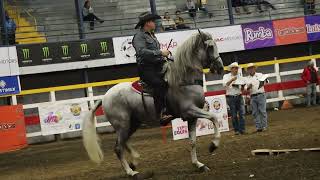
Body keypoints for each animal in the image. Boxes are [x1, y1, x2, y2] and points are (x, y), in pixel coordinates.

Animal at [81, 31, 224, 179]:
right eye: (210, 47)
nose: (220, 67)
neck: (184, 81)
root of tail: (104, 97)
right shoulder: (190, 111)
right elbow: (214, 117)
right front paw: (213, 145)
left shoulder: (192, 118)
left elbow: (192, 141)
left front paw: (199, 165)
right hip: (122, 125)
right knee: (118, 147)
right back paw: (131, 172)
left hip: (133, 123)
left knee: (124, 142)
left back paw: (134, 160)